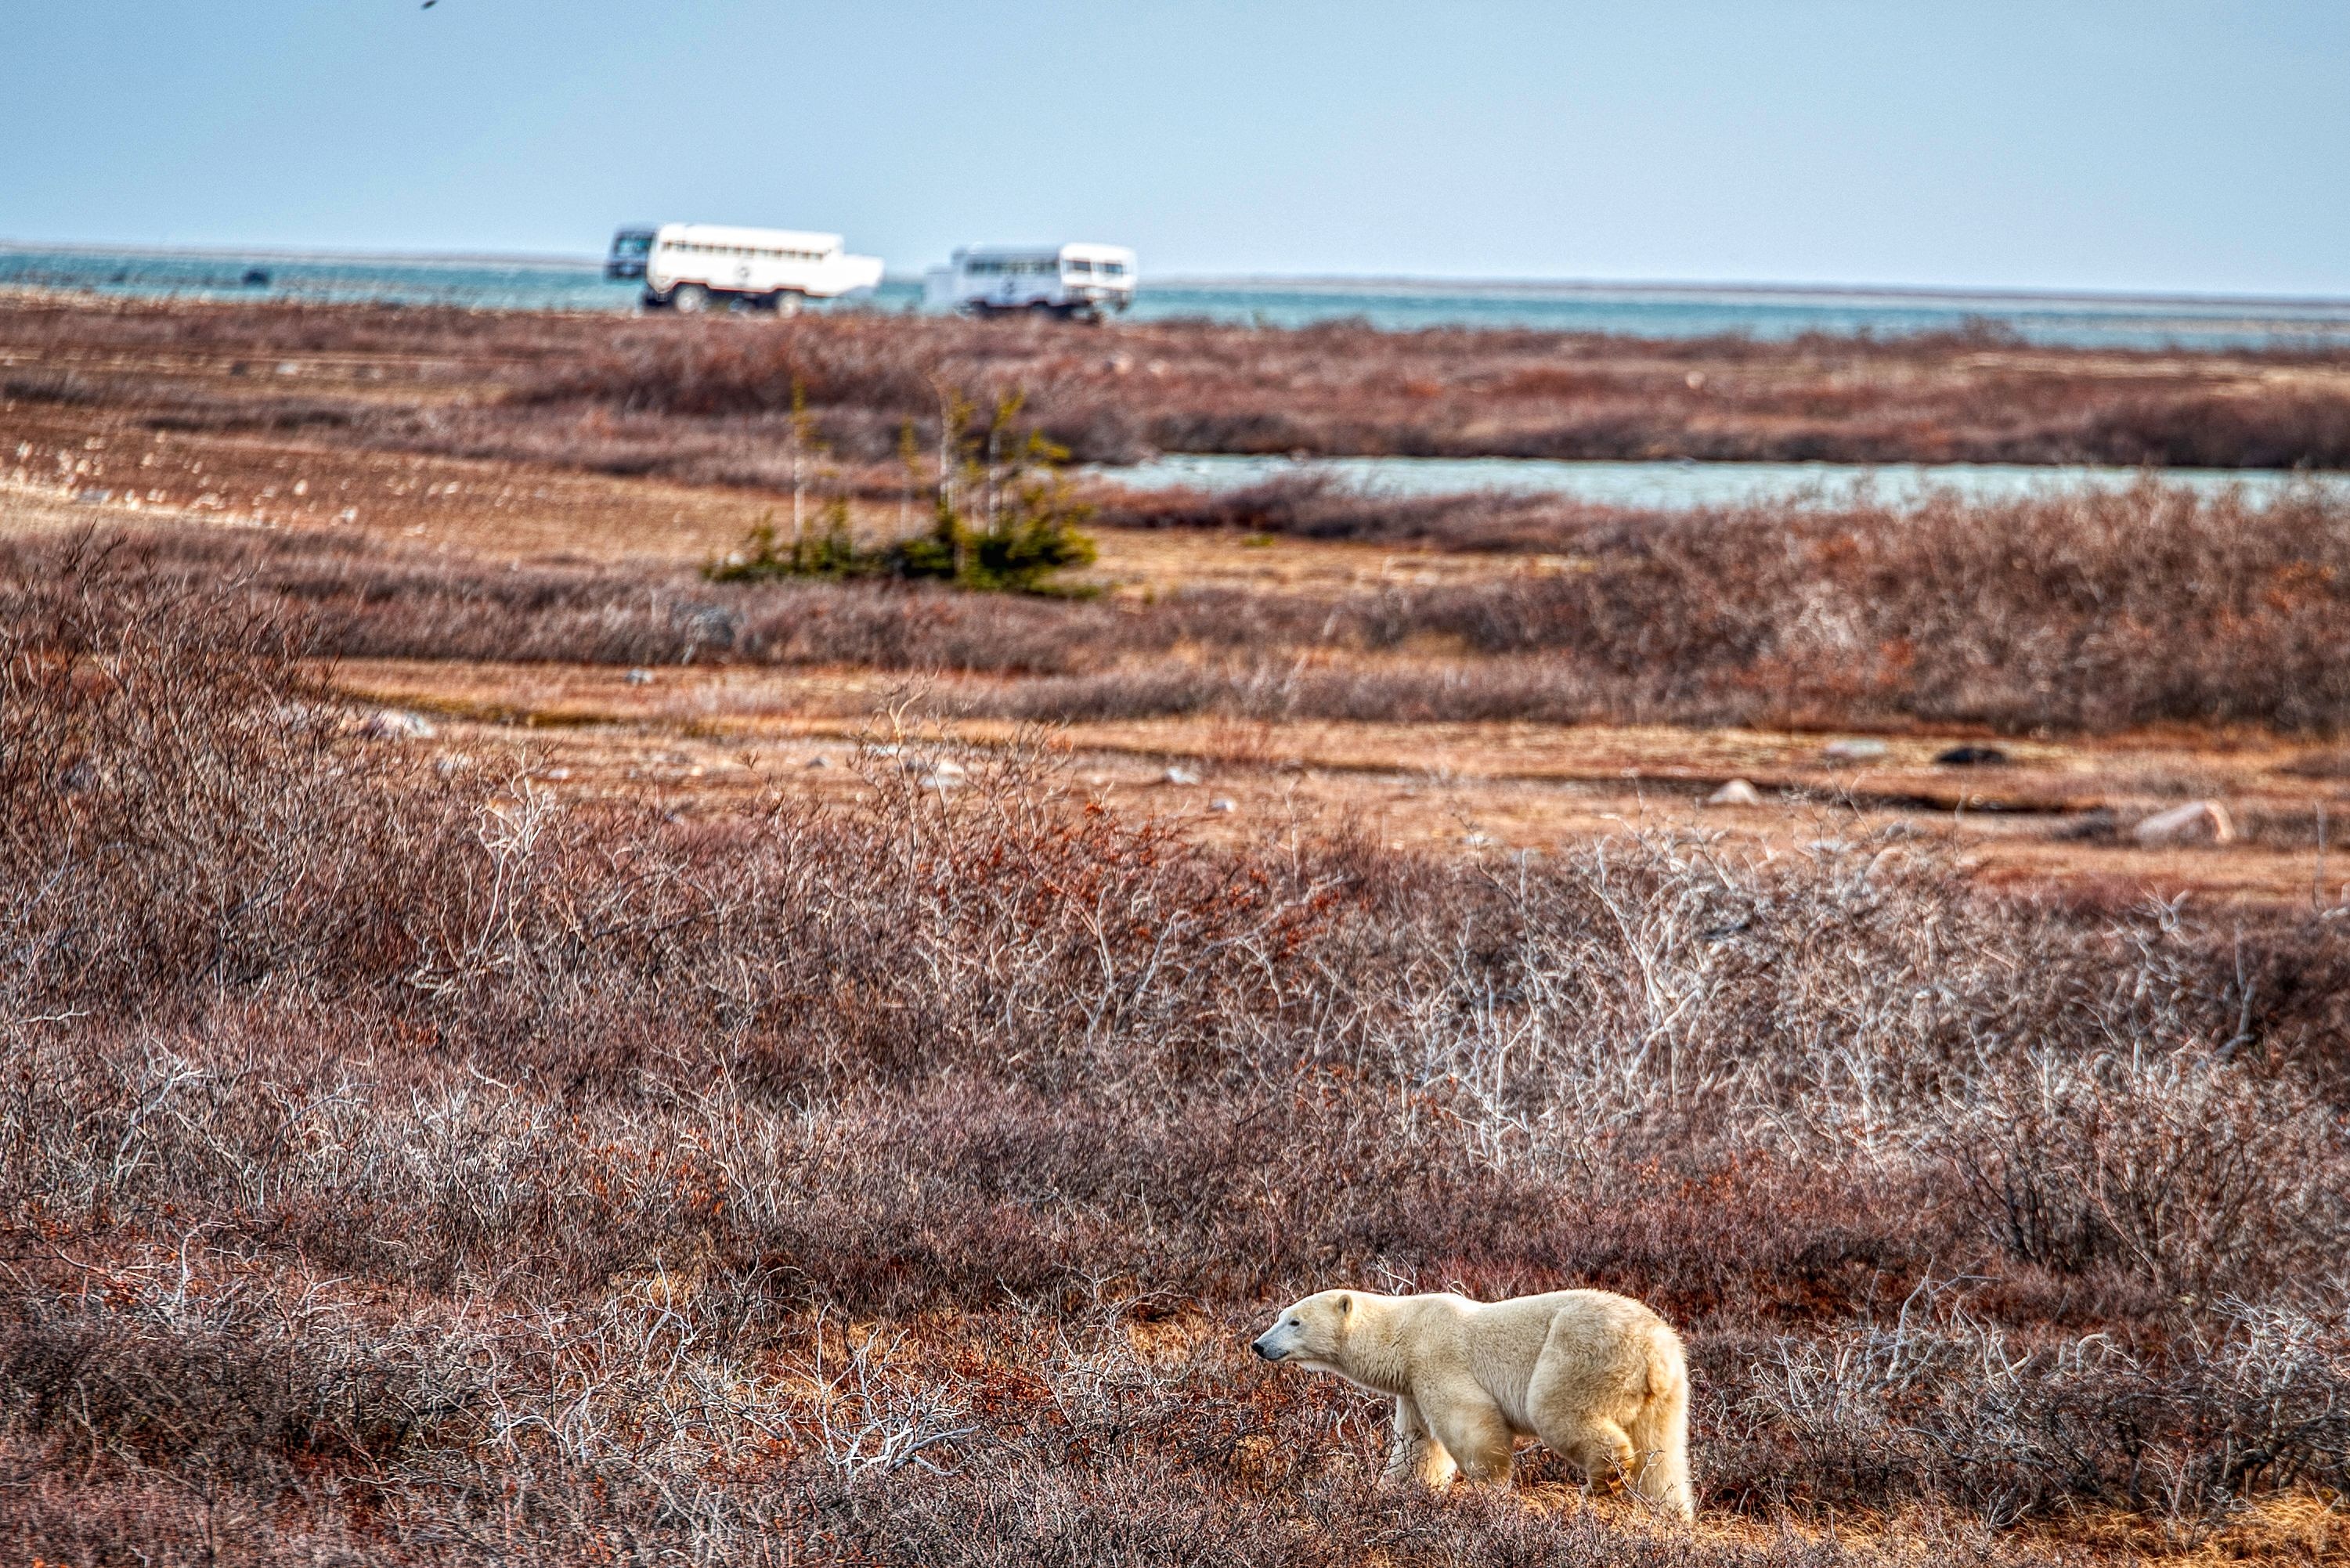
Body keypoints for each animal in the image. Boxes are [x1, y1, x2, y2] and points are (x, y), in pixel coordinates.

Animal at [1250, 1288, 1691, 1523]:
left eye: (1294, 1322)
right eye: (1281, 1315)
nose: (1258, 1344)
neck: (1404, 1331)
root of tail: (1654, 1351)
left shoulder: (1436, 1357)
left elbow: (1469, 1422)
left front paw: (1487, 1488)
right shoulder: (1411, 1386)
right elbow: (1416, 1446)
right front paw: (1390, 1490)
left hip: (1581, 1354)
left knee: (1555, 1408)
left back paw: (1601, 1482)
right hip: (1667, 1392)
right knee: (1663, 1453)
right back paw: (1670, 1512)